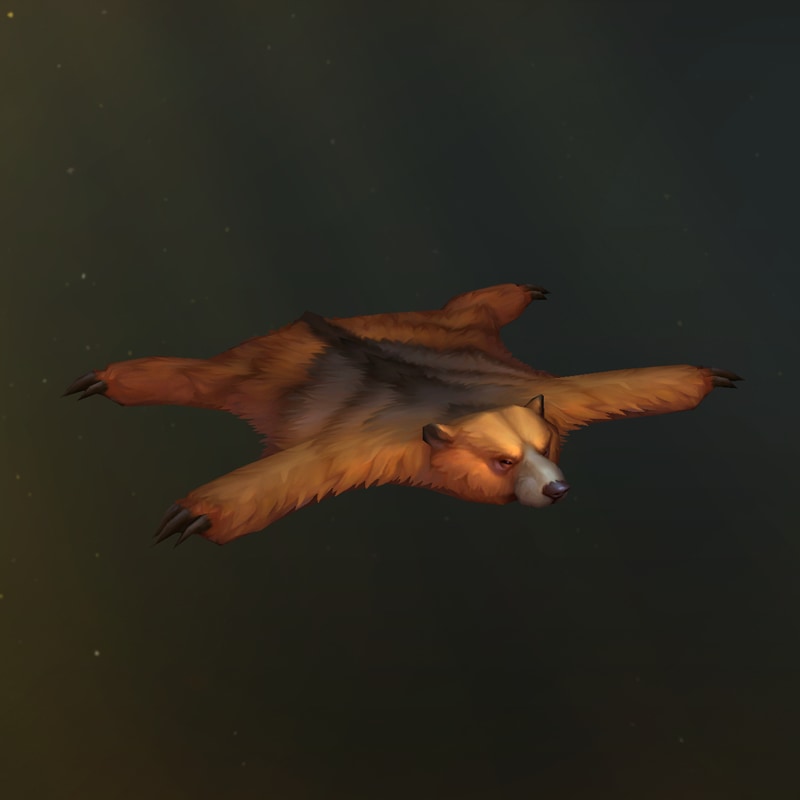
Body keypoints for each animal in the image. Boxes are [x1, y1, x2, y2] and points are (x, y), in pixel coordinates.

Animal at [63, 283, 741, 546]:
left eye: (548, 448)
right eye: (502, 463)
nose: (557, 489)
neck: (461, 407)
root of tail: (314, 321)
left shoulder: (554, 397)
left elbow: (616, 385)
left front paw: (705, 376)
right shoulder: (373, 441)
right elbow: (296, 468)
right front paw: (198, 511)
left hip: (439, 326)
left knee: (468, 307)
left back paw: (512, 293)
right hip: (259, 367)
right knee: (206, 375)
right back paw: (114, 379)